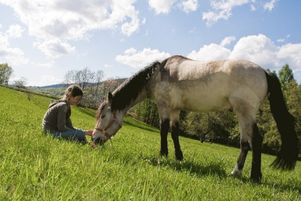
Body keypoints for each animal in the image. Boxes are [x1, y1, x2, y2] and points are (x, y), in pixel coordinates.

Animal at [91, 55, 298, 182]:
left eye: (103, 115)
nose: (94, 139)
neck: (159, 74)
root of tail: (265, 71)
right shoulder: (175, 110)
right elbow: (174, 132)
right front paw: (179, 157)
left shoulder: (164, 107)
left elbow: (163, 130)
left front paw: (163, 154)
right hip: (243, 114)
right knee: (246, 143)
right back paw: (240, 172)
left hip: (245, 112)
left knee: (254, 140)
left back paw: (252, 175)